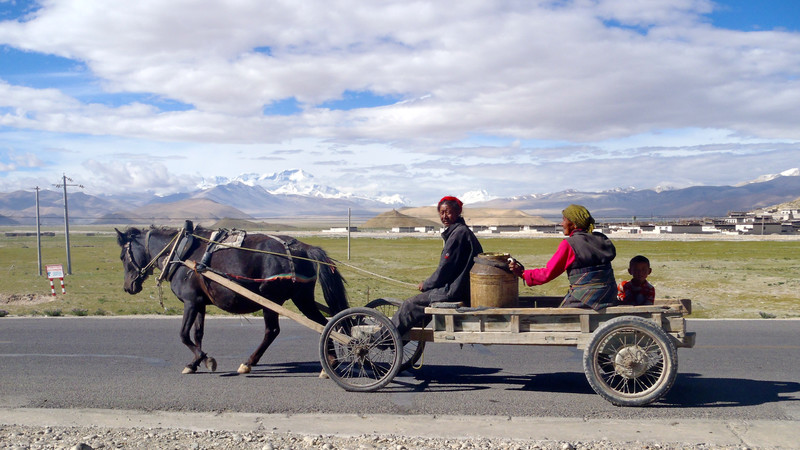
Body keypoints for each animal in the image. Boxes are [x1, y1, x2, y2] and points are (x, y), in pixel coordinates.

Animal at [115, 225, 346, 376]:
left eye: (122, 256)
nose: (128, 287)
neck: (181, 255)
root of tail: (304, 248)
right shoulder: (200, 303)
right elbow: (198, 334)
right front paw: (195, 362)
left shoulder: (190, 302)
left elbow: (183, 335)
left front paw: (206, 359)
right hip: (302, 299)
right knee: (324, 325)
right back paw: (330, 364)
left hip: (270, 300)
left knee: (272, 331)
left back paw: (248, 363)